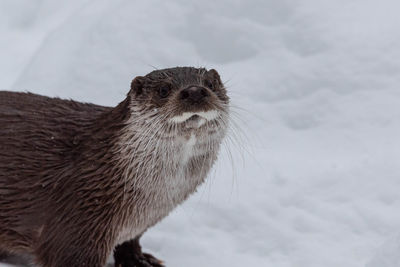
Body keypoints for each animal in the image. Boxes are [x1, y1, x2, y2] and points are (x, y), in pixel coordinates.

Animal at [0, 66, 228, 266]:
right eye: (163, 90)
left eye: (210, 84)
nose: (195, 91)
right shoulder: (79, 216)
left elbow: (130, 242)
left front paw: (138, 260)